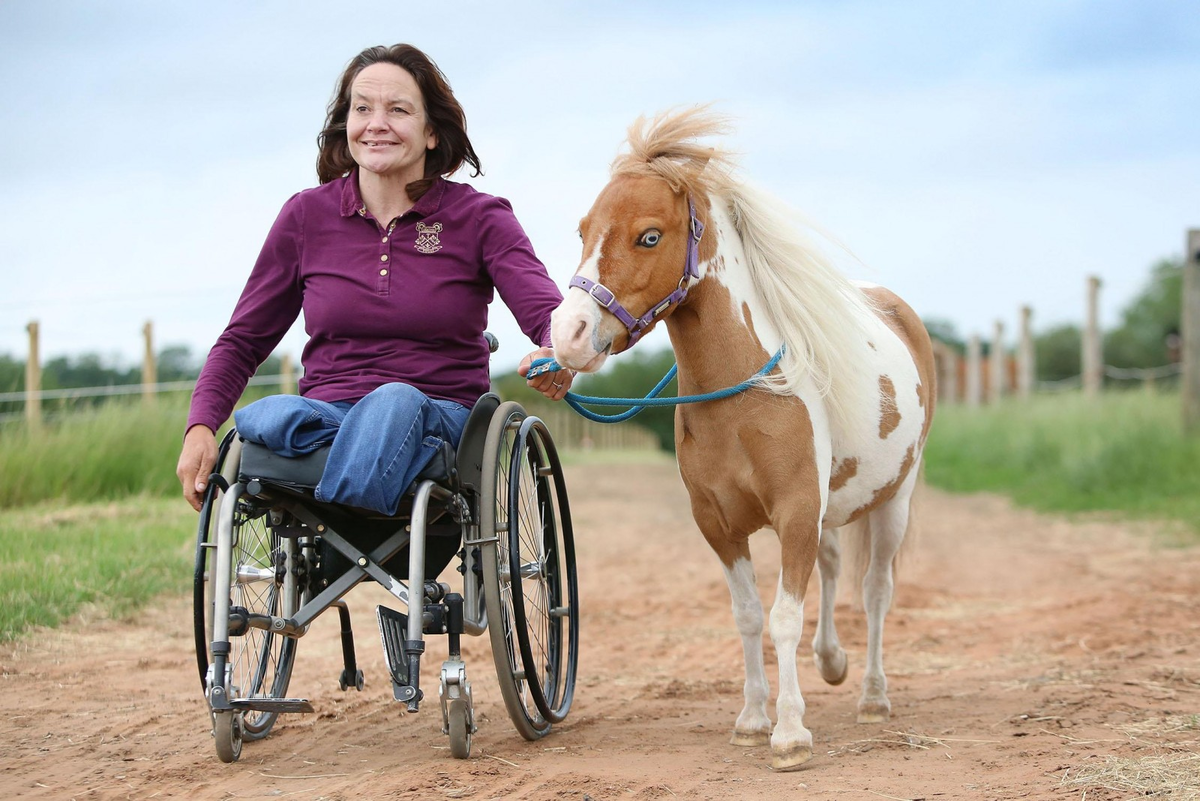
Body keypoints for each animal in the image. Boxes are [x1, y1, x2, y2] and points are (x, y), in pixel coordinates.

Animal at [549, 109, 936, 772]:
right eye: (583, 231)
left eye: (648, 236)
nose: (568, 333)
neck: (741, 396)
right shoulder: (720, 524)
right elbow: (750, 615)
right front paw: (754, 719)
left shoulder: (795, 513)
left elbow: (784, 618)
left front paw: (790, 733)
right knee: (833, 568)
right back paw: (832, 662)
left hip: (895, 501)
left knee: (875, 592)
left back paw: (872, 696)